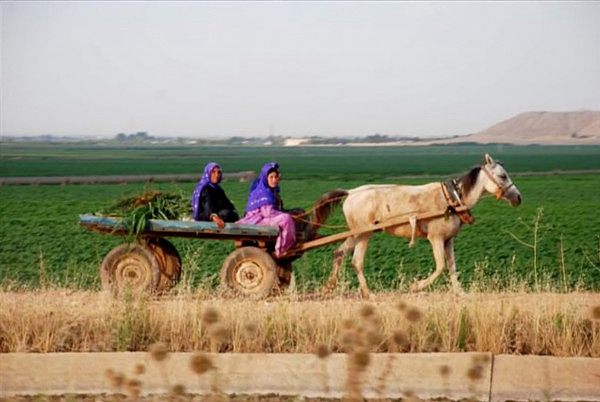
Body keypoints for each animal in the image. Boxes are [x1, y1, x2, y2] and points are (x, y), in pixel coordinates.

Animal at [312, 154, 524, 298]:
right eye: (502, 176)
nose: (518, 197)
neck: (452, 200)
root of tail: (350, 192)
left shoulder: (448, 240)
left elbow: (452, 266)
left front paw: (460, 292)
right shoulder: (436, 238)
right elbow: (440, 266)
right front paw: (416, 286)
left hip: (356, 233)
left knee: (339, 253)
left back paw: (329, 287)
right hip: (364, 234)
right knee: (356, 261)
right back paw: (368, 293)